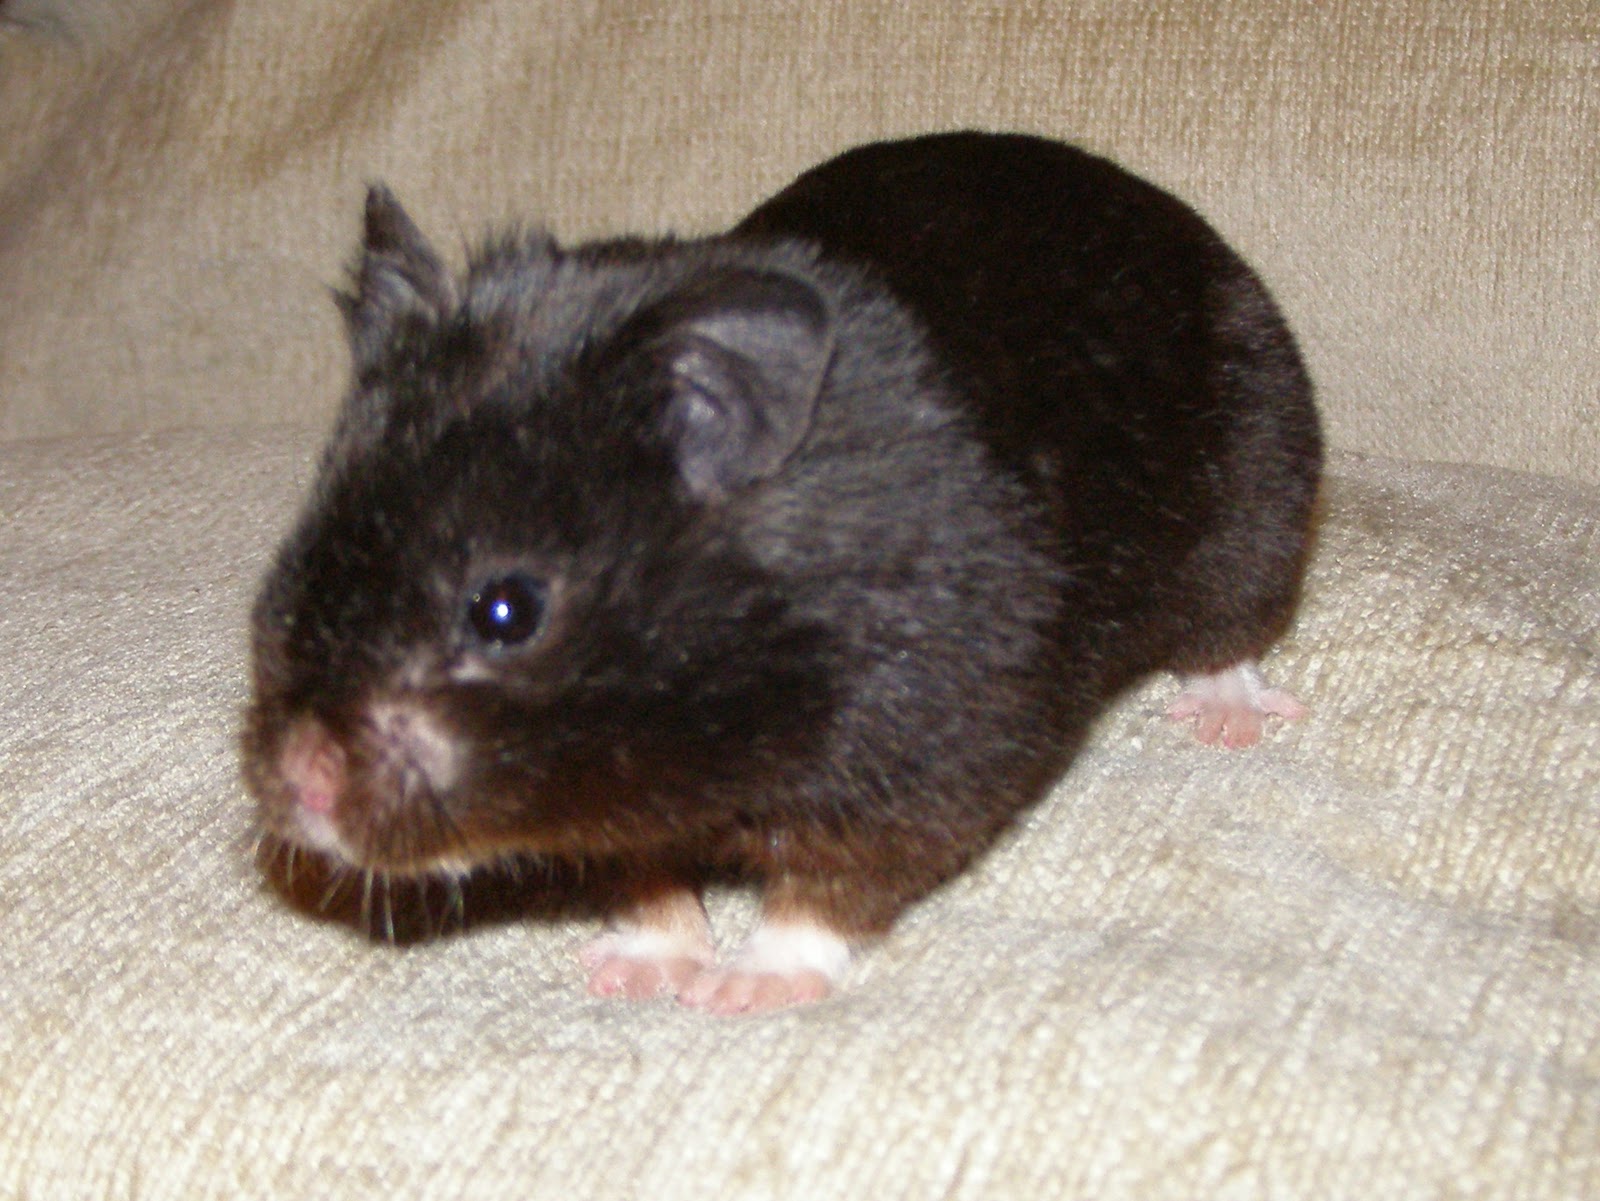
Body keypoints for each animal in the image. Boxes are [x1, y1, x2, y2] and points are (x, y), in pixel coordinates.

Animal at [241, 131, 1320, 1014]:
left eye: (505, 610)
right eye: (292, 563)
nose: (296, 783)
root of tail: (1176, 217)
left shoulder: (928, 751)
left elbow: (828, 888)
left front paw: (739, 992)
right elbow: (645, 878)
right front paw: (634, 970)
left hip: (1255, 504)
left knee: (1232, 629)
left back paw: (1224, 717)